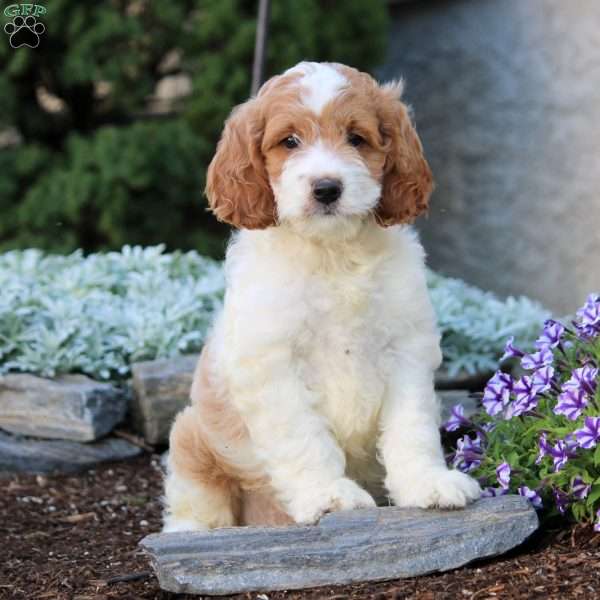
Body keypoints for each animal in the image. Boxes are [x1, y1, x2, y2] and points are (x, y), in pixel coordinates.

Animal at [162, 61, 480, 528]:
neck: (333, 252)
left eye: (356, 138)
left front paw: (427, 484)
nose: (327, 188)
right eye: (289, 141)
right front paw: (328, 494)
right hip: (192, 439)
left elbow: (412, 427)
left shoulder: (405, 349)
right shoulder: (274, 365)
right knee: (195, 508)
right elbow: (303, 438)